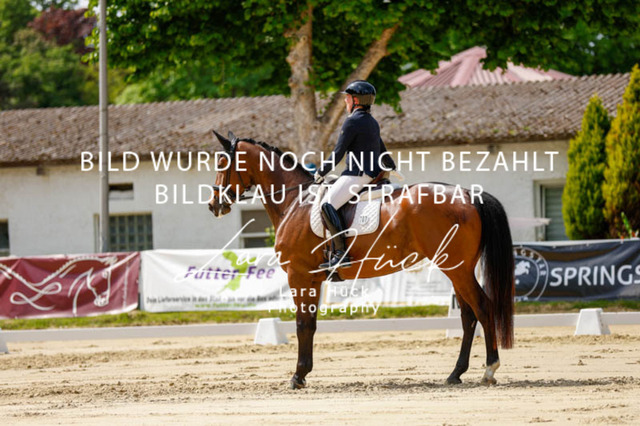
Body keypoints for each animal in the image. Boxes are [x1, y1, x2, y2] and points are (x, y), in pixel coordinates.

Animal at [208, 131, 515, 389]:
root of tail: (468, 195)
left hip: (457, 269)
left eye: (222, 162)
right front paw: (303, 374)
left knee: (482, 307)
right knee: (467, 315)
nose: (213, 205)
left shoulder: (299, 274)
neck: (295, 201)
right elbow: (311, 323)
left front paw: (298, 376)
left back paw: (489, 369)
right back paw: (455, 374)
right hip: (457, 269)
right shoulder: (312, 278)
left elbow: (302, 323)